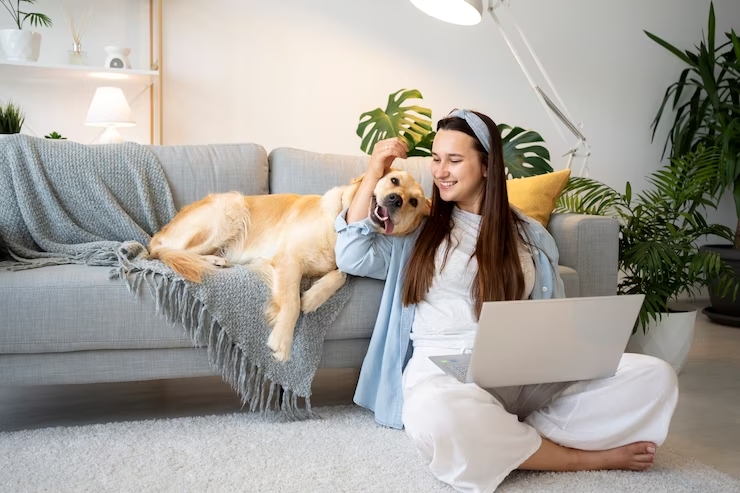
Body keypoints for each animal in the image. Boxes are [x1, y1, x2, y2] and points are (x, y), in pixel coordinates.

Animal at [147, 169, 428, 362]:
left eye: (414, 202)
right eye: (394, 181)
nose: (395, 200)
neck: (340, 224)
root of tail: (157, 235)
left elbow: (341, 274)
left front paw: (313, 298)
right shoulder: (288, 258)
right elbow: (291, 303)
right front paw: (282, 341)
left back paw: (216, 260)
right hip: (231, 208)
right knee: (171, 252)